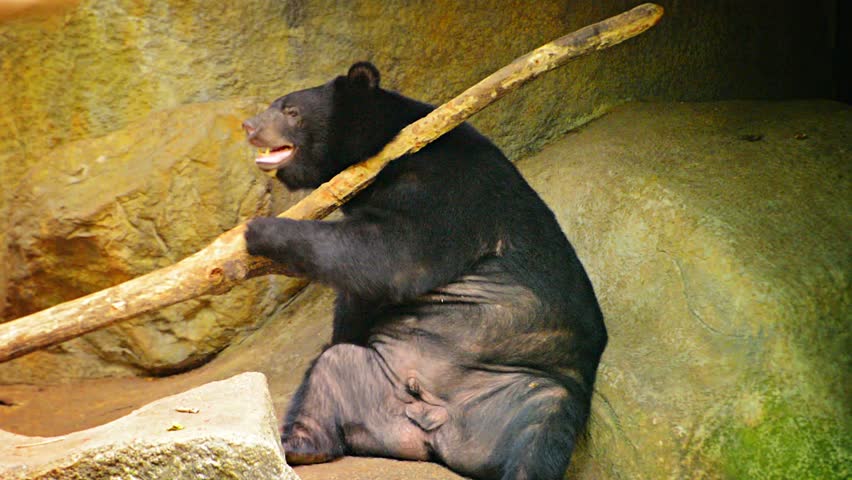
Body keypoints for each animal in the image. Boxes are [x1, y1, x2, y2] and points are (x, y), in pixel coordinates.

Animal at [242, 62, 607, 480]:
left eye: (291, 111)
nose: (249, 126)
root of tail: (434, 427)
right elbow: (360, 292)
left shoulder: (449, 184)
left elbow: (395, 254)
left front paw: (256, 230)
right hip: (371, 382)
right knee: (329, 371)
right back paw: (297, 446)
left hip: (530, 387)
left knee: (539, 437)